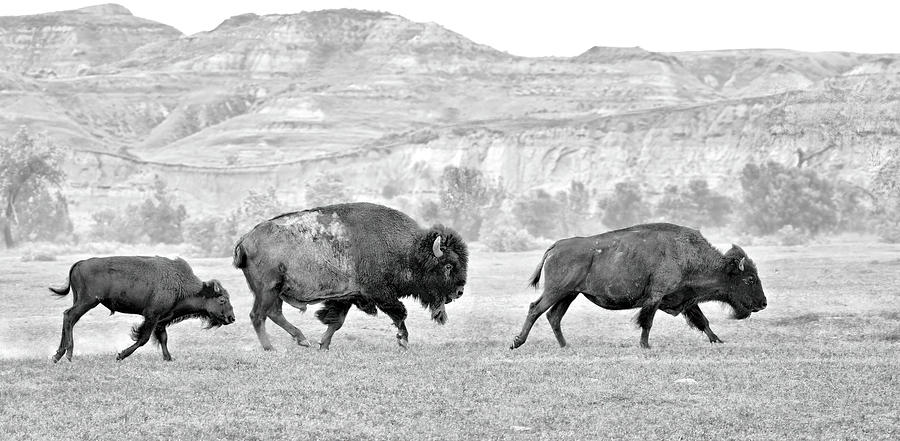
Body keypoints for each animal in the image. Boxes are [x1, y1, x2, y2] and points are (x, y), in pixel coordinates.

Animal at [50, 256, 235, 362]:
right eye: (222, 299)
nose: (231, 318)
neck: (180, 283)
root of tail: (80, 263)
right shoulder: (152, 316)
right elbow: (143, 338)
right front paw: (120, 355)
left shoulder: (161, 319)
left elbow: (163, 338)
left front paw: (168, 358)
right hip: (87, 301)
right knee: (69, 316)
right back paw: (67, 354)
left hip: (80, 300)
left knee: (69, 318)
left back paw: (58, 355)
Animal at [233, 202, 468, 350]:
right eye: (448, 266)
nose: (459, 291)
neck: (409, 251)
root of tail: (245, 238)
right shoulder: (381, 294)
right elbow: (400, 314)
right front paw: (403, 342)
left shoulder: (346, 296)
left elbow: (336, 322)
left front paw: (323, 345)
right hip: (267, 289)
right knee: (258, 316)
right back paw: (270, 347)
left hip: (276, 291)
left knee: (273, 313)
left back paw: (302, 340)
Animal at [511, 223, 767, 349]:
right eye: (750, 279)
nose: (763, 303)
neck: (686, 255)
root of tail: (556, 246)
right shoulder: (656, 296)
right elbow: (647, 322)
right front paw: (645, 346)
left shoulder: (685, 299)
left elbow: (703, 321)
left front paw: (718, 341)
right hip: (556, 291)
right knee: (535, 309)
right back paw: (517, 342)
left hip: (569, 295)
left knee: (554, 316)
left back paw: (566, 346)